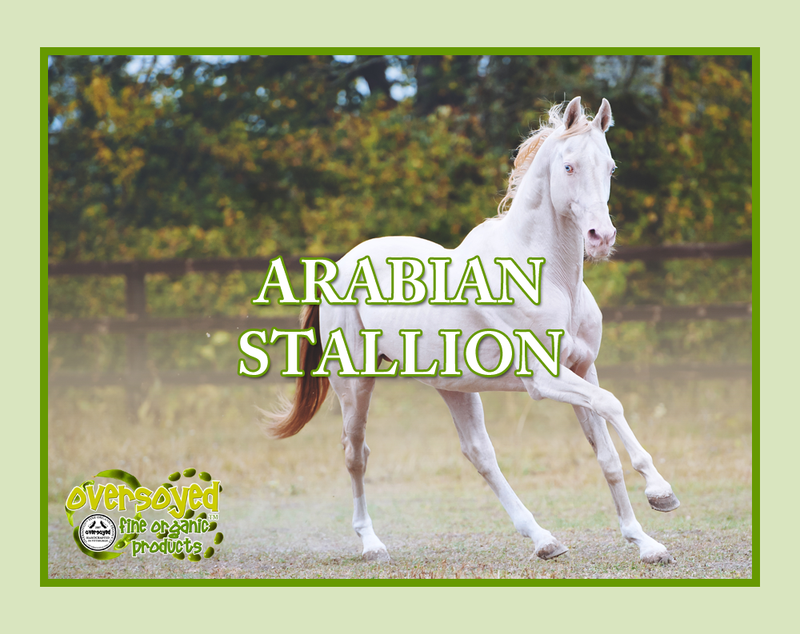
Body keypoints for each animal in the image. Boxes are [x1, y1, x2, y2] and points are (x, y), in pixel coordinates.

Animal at [262, 96, 680, 565]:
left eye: (610, 167)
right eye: (569, 166)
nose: (600, 237)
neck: (549, 278)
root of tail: (339, 266)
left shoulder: (582, 368)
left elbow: (606, 455)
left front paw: (646, 543)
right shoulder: (545, 379)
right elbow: (612, 405)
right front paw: (661, 492)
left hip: (453, 386)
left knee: (479, 454)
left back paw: (544, 540)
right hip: (355, 385)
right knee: (356, 454)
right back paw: (371, 544)